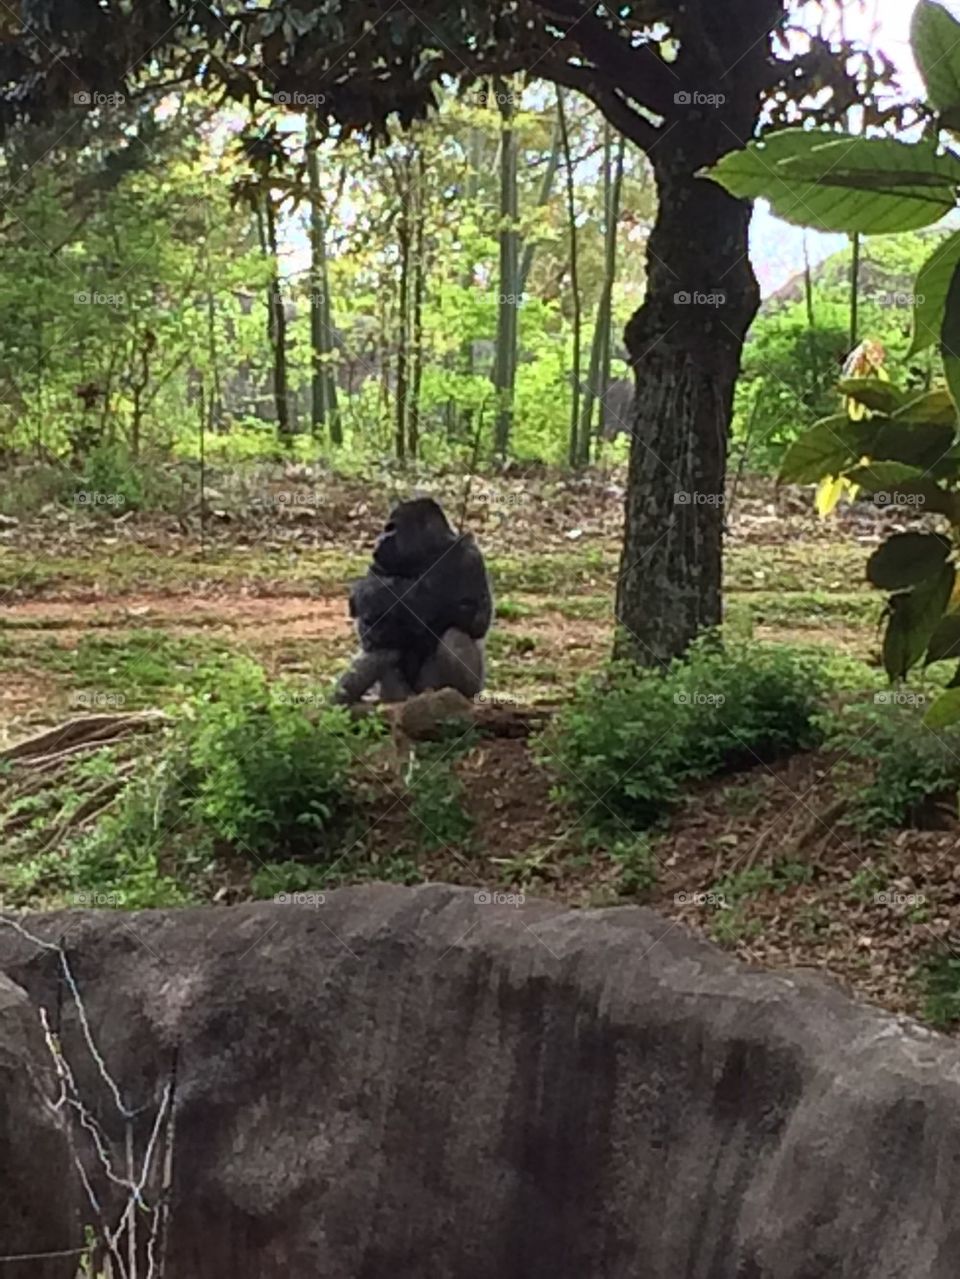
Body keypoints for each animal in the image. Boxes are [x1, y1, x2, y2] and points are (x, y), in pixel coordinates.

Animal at [332, 497, 493, 705]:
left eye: (391, 529)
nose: (379, 539)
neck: (430, 551)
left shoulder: (469, 556)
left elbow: (476, 617)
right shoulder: (379, 566)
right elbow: (372, 623)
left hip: (461, 688)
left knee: (454, 633)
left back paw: (455, 693)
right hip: (401, 694)